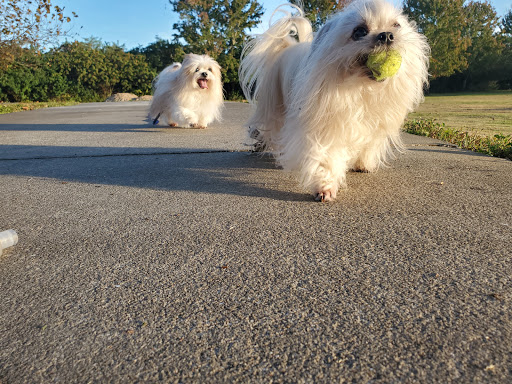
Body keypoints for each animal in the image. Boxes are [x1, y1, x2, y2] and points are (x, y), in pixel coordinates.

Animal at [239, 0, 428, 202]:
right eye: (359, 31)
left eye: (396, 25)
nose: (386, 35)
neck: (361, 87)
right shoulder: (325, 127)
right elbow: (325, 159)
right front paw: (324, 187)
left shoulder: (374, 125)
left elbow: (368, 144)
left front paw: (362, 163)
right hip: (275, 107)